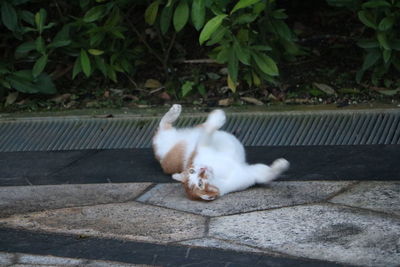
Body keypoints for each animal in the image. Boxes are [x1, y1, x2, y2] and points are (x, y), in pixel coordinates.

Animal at [152, 104, 290, 201]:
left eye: (192, 171)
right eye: (200, 184)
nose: (202, 169)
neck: (219, 173)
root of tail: (159, 158)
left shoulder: (203, 146)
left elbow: (209, 129)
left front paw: (217, 116)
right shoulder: (250, 173)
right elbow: (266, 175)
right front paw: (282, 164)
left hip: (184, 133)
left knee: (177, 125)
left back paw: (175, 111)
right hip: (164, 145)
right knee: (162, 129)